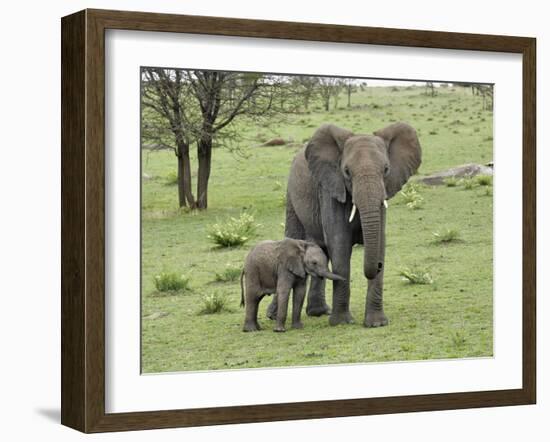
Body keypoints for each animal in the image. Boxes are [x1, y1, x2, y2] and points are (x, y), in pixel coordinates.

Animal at [268, 122, 422, 326]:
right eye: (347, 172)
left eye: (386, 170)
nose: (378, 266)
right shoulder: (331, 189)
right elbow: (339, 245)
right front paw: (341, 322)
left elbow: (379, 243)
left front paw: (376, 323)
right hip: (291, 197)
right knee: (294, 237)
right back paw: (273, 316)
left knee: (321, 250)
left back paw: (318, 312)